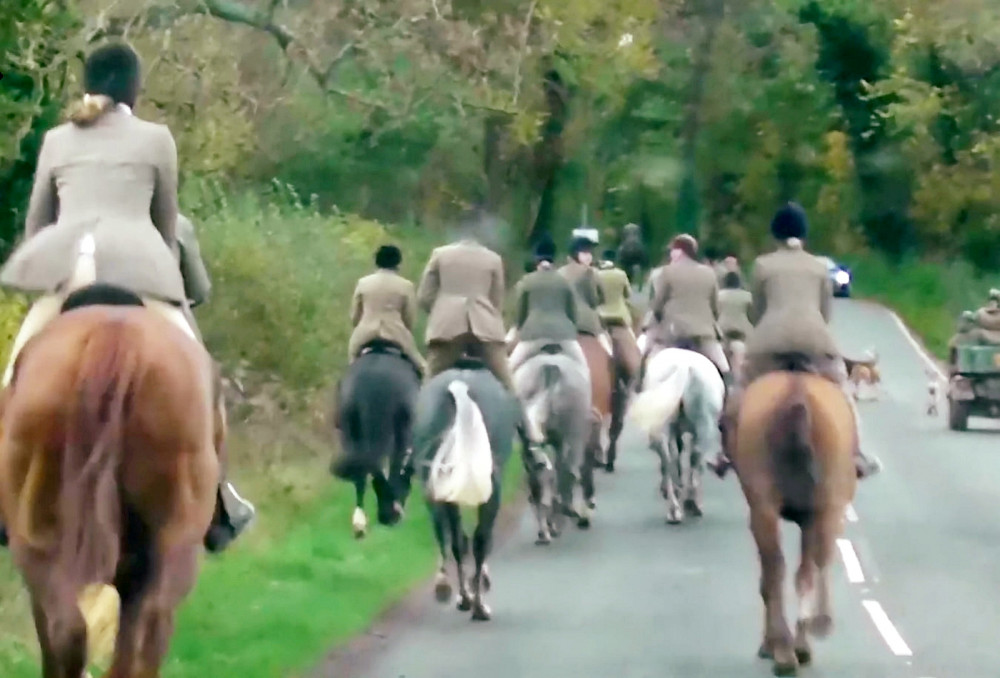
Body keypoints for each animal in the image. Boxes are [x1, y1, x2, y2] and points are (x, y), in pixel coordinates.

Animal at [332, 342, 418, 540]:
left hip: (351, 434)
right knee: (389, 467)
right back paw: (389, 512)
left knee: (363, 474)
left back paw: (361, 523)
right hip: (399, 431)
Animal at [628, 348, 724, 528]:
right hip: (704, 425)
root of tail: (684, 367)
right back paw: (690, 503)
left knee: (668, 460)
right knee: (693, 456)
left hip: (665, 428)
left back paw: (674, 508)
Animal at [732, 366, 856, 678]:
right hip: (823, 505)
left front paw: (771, 644)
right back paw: (808, 634)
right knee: (811, 564)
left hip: (767, 508)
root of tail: (796, 396)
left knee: (778, 571)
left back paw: (786, 651)